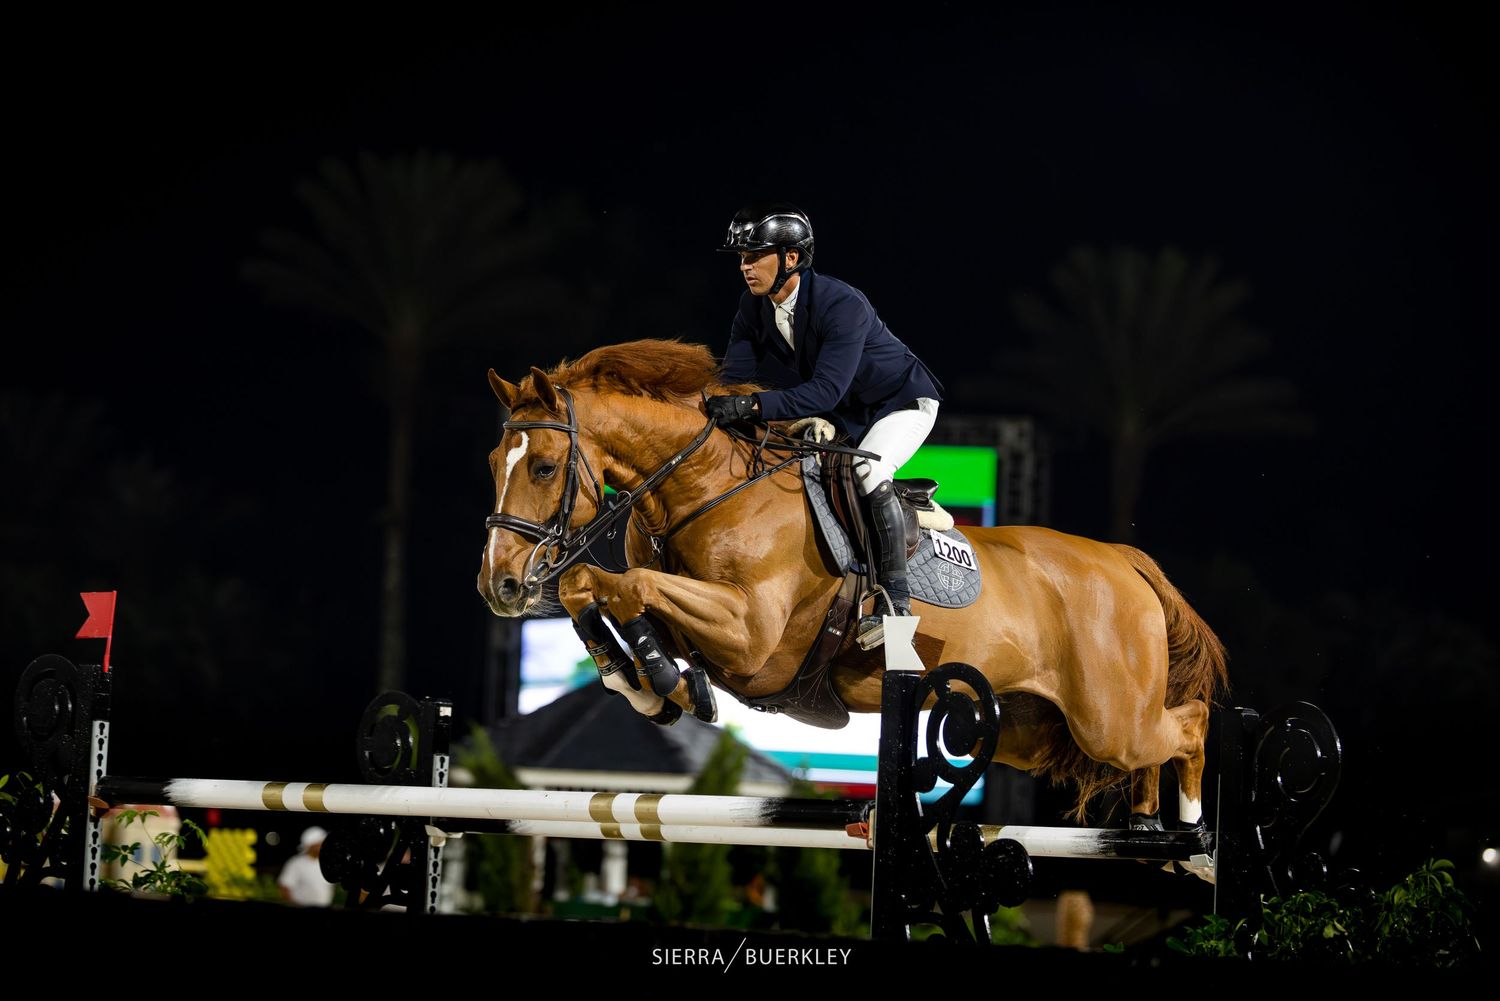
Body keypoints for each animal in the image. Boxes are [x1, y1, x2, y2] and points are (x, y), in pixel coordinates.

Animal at [477, 339, 1227, 828]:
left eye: (543, 467)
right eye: (493, 462)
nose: (500, 585)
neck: (704, 487)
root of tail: (1122, 561)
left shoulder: (751, 635)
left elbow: (628, 585)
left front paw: (661, 678)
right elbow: (594, 588)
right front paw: (643, 681)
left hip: (1108, 720)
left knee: (1189, 725)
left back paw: (1190, 825)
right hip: (1026, 728)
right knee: (1144, 749)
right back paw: (1144, 823)